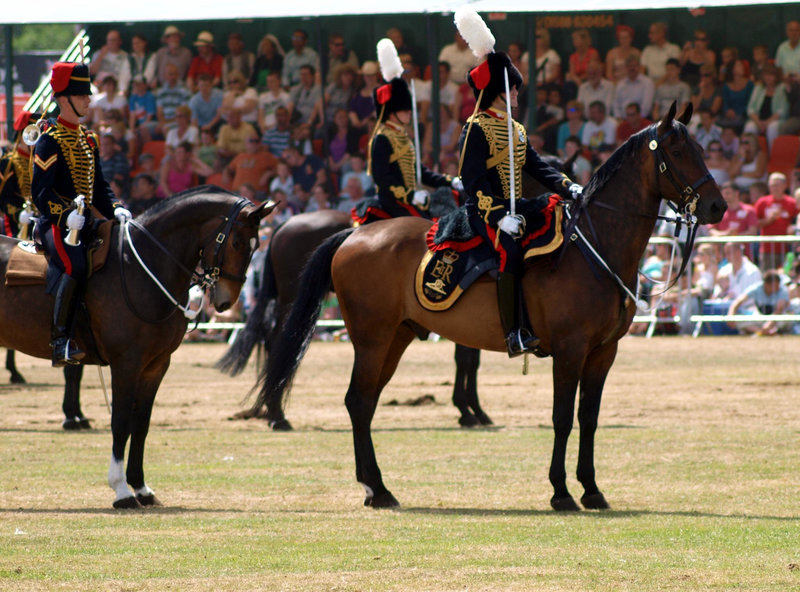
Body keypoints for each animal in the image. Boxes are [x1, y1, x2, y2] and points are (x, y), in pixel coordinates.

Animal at [0, 187, 272, 506]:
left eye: (256, 245)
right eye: (237, 242)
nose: (226, 301)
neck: (142, 269)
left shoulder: (155, 365)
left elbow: (140, 423)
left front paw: (140, 486)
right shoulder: (126, 364)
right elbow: (120, 422)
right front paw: (121, 490)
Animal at [255, 106, 724, 512]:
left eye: (702, 148)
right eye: (678, 152)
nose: (717, 206)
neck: (593, 246)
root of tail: (351, 236)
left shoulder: (602, 353)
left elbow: (588, 419)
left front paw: (591, 489)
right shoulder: (570, 350)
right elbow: (561, 418)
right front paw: (560, 492)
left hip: (395, 337)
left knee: (364, 402)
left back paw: (375, 486)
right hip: (372, 338)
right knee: (352, 395)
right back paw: (371, 484)